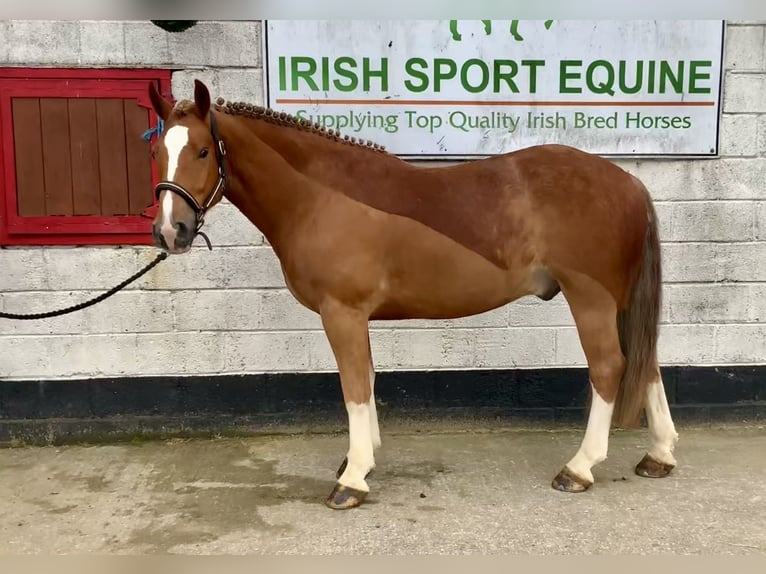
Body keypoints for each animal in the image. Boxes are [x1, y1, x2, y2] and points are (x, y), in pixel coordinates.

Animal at [147, 79, 679, 510]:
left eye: (202, 151)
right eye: (156, 154)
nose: (170, 231)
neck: (320, 196)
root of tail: (628, 181)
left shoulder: (342, 313)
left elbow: (354, 387)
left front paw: (352, 480)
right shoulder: (354, 317)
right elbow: (368, 381)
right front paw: (359, 461)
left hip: (591, 299)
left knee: (610, 366)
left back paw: (580, 467)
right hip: (619, 301)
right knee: (646, 362)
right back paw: (659, 455)